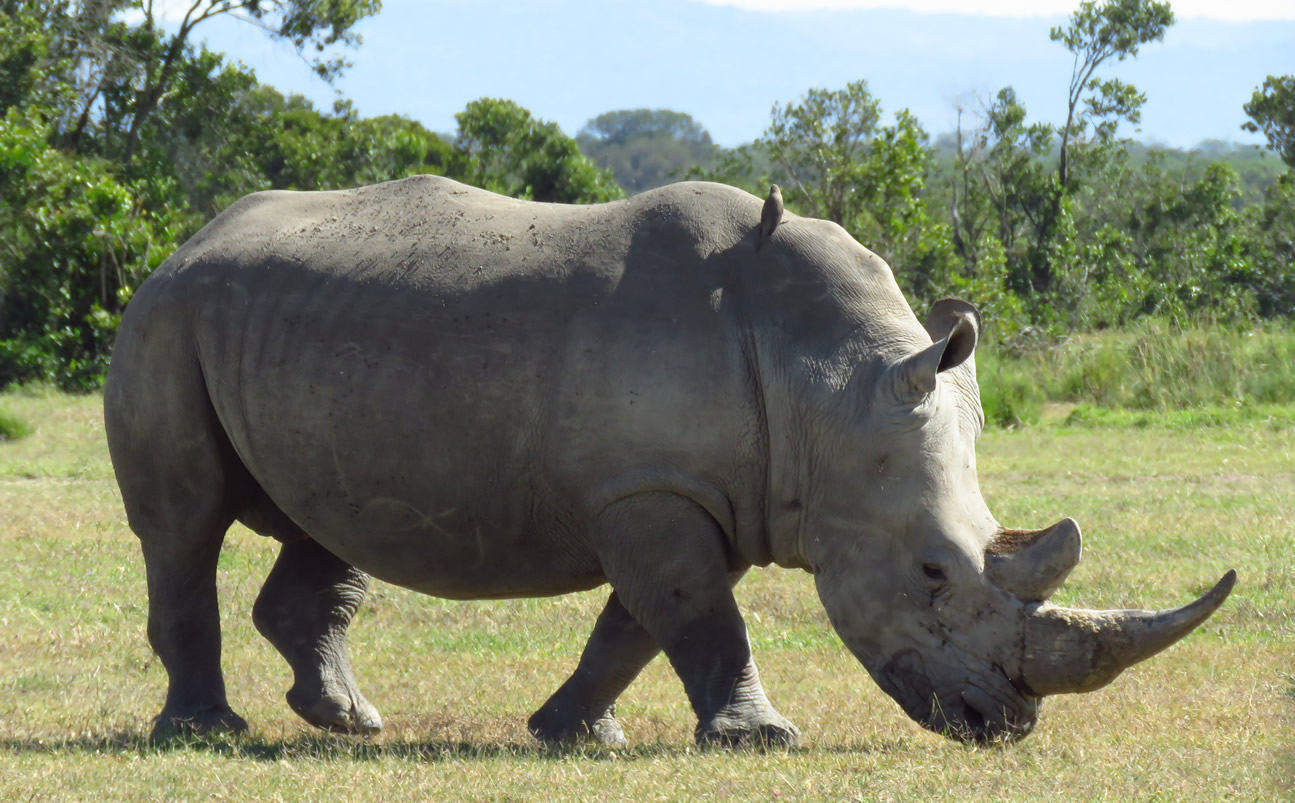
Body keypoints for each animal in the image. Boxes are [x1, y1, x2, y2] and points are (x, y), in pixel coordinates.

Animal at [108, 176, 1232, 746]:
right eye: (929, 572)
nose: (1003, 724)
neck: (826, 383)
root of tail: (182, 241)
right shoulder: (654, 488)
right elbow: (695, 616)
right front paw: (759, 739)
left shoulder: (708, 488)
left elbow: (642, 626)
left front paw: (573, 734)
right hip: (165, 319)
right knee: (184, 523)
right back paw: (205, 733)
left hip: (304, 332)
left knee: (325, 516)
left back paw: (346, 721)